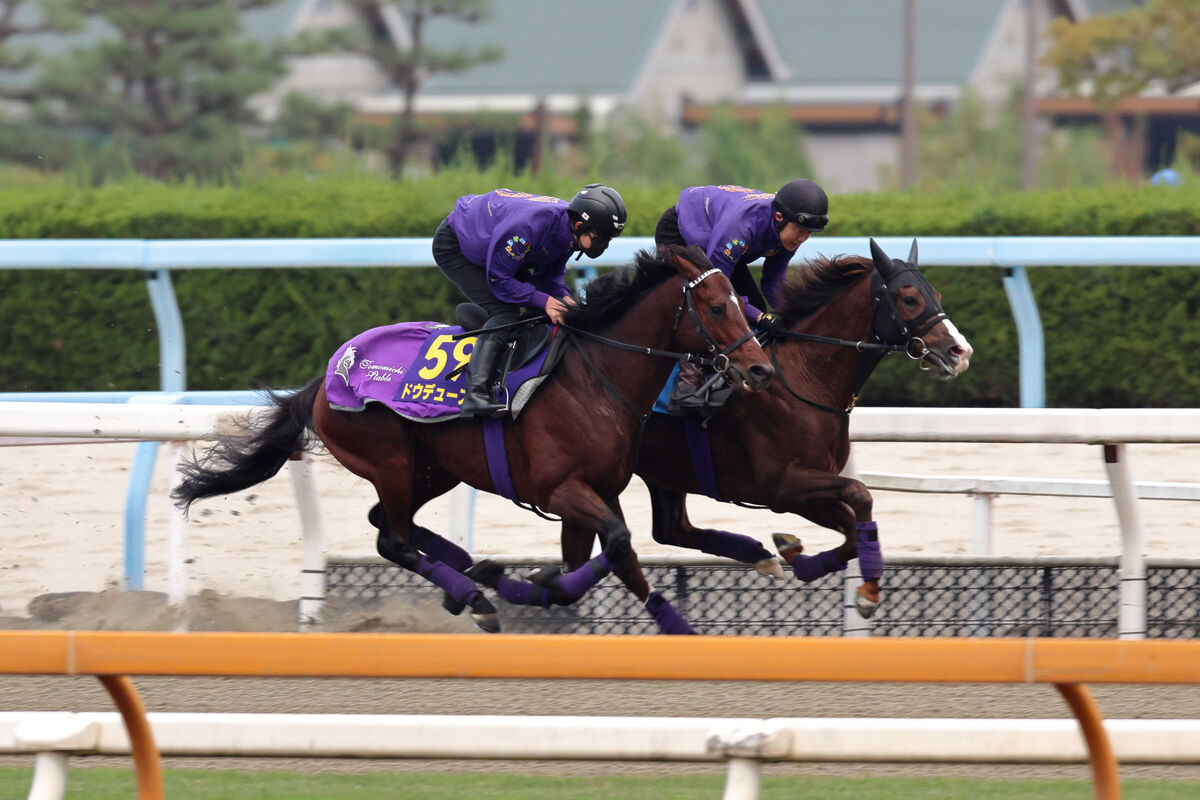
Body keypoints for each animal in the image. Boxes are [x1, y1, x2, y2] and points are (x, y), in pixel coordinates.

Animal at [171, 244, 768, 633]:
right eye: (718, 306)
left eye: (743, 303)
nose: (760, 369)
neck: (594, 378)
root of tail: (328, 375)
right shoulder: (560, 489)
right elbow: (617, 545)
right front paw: (534, 585)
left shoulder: (599, 492)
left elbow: (603, 560)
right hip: (389, 459)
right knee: (393, 540)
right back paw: (474, 593)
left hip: (431, 470)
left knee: (389, 524)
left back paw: (480, 574)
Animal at [564, 237, 974, 633]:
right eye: (909, 298)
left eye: (936, 294)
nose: (961, 351)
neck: (805, 378)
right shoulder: (781, 485)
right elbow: (860, 495)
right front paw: (867, 593)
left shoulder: (808, 491)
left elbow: (853, 531)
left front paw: (795, 553)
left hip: (664, 471)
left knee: (669, 529)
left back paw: (760, 556)